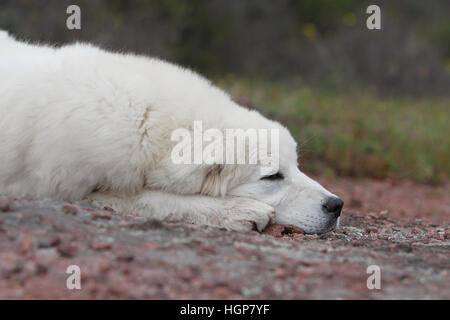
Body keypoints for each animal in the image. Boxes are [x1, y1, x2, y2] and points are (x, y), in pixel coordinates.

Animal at [0, 31, 342, 234]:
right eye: (272, 176)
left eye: (296, 166)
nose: (336, 205)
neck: (149, 120)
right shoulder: (59, 182)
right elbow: (147, 199)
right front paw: (238, 211)